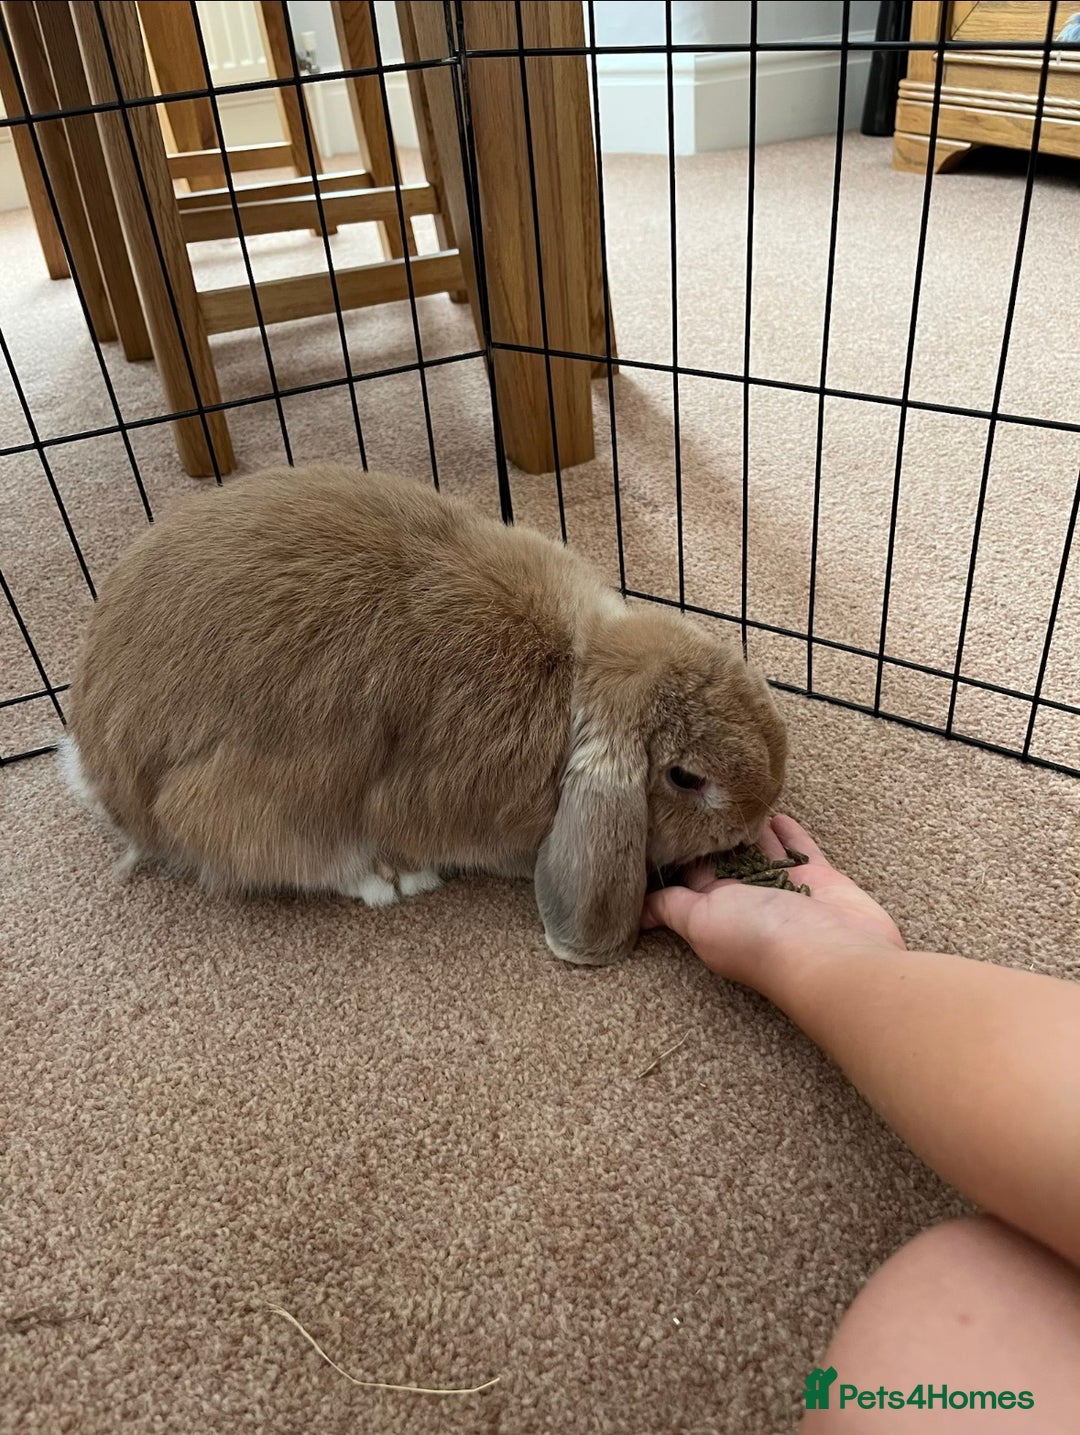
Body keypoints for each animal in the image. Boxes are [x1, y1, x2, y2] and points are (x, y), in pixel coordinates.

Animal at [62, 463, 787, 965]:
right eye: (686, 778)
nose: (758, 818)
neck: (580, 668)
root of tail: (99, 767)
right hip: (245, 806)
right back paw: (389, 877)